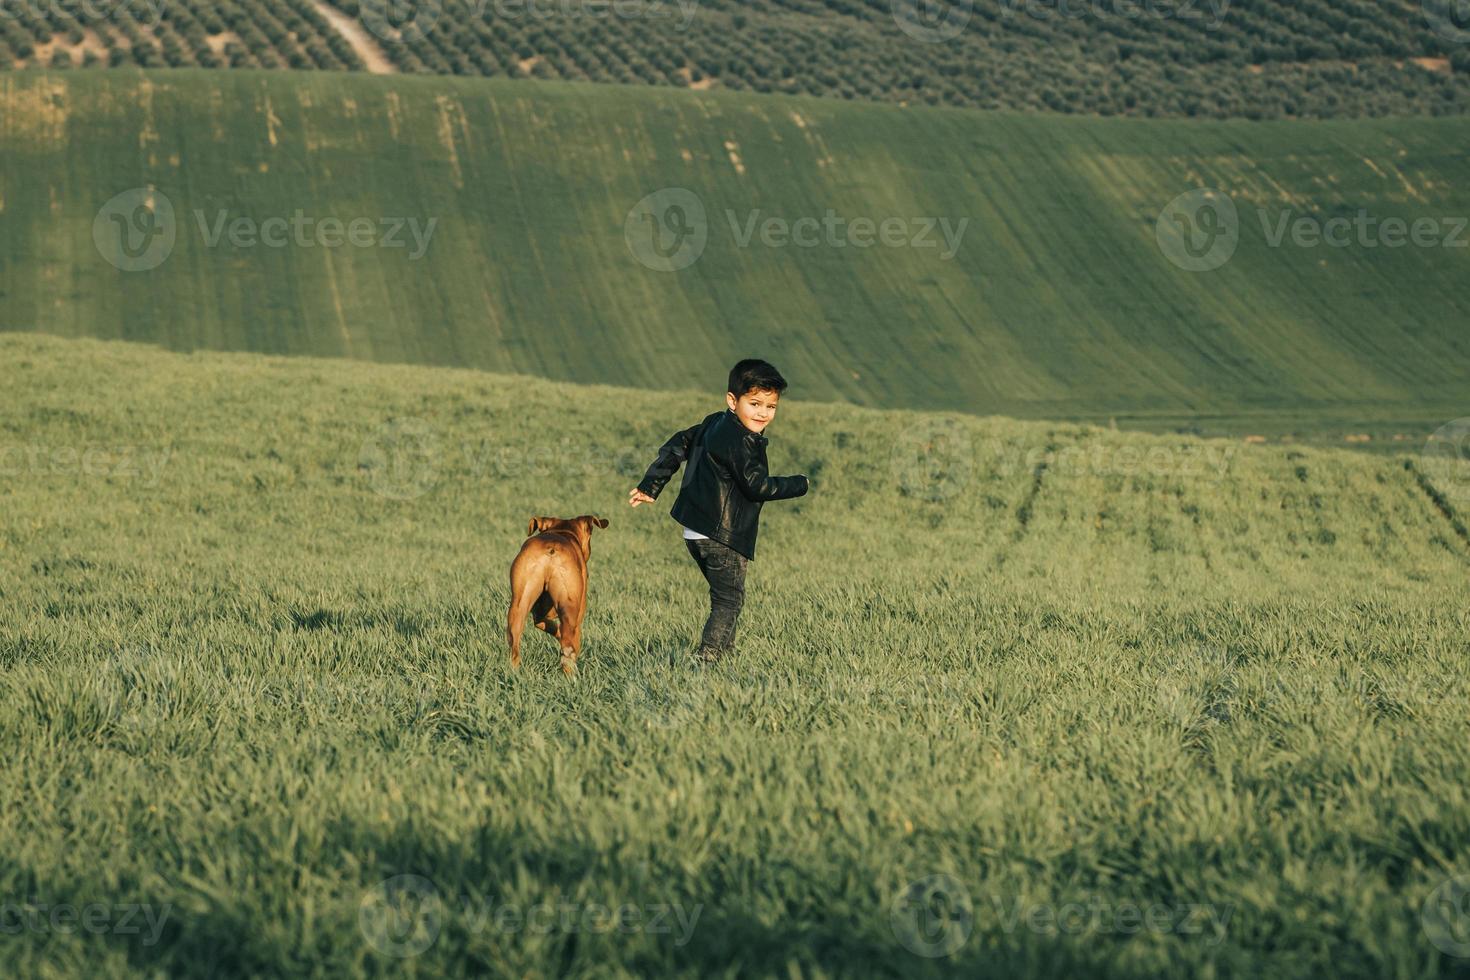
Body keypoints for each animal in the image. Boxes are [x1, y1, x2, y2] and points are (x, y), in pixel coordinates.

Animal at [505, 514, 608, 675]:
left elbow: (545, 624)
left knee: (514, 644)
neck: (562, 531)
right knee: (568, 642)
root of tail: (551, 549)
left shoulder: (539, 613)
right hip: (570, 606)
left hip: (518, 604)